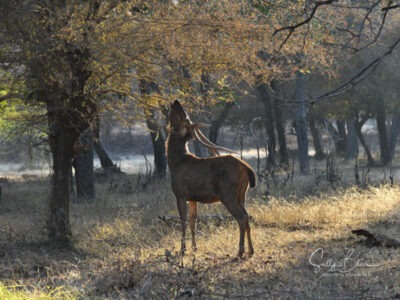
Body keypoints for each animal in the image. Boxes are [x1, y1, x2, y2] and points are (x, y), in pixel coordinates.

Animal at [166, 99, 256, 256]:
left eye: (183, 116)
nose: (176, 101)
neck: (175, 163)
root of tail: (248, 169)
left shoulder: (180, 194)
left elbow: (183, 221)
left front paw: (183, 249)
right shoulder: (193, 198)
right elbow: (193, 221)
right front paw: (195, 247)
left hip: (227, 194)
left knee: (242, 217)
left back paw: (240, 251)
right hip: (242, 195)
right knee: (247, 215)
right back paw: (251, 250)